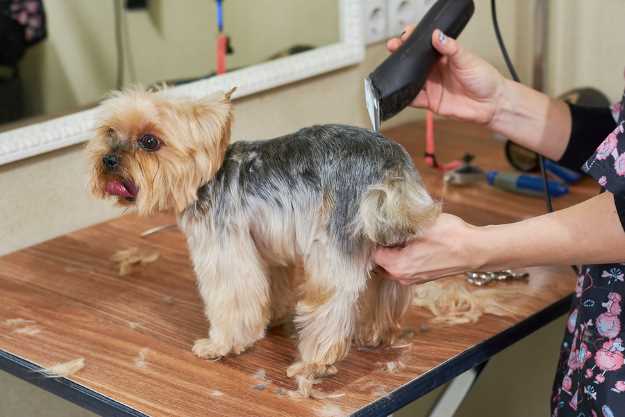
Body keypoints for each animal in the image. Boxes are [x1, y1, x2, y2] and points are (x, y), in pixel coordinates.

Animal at [86, 88, 438, 386]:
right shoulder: (265, 245)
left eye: (149, 141)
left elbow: (233, 298)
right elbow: (272, 284)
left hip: (334, 243)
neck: (205, 180)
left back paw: (314, 363)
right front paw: (272, 318)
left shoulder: (224, 249)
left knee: (331, 301)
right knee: (385, 289)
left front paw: (220, 345)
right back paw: (375, 333)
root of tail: (389, 167)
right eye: (109, 132)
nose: (109, 160)